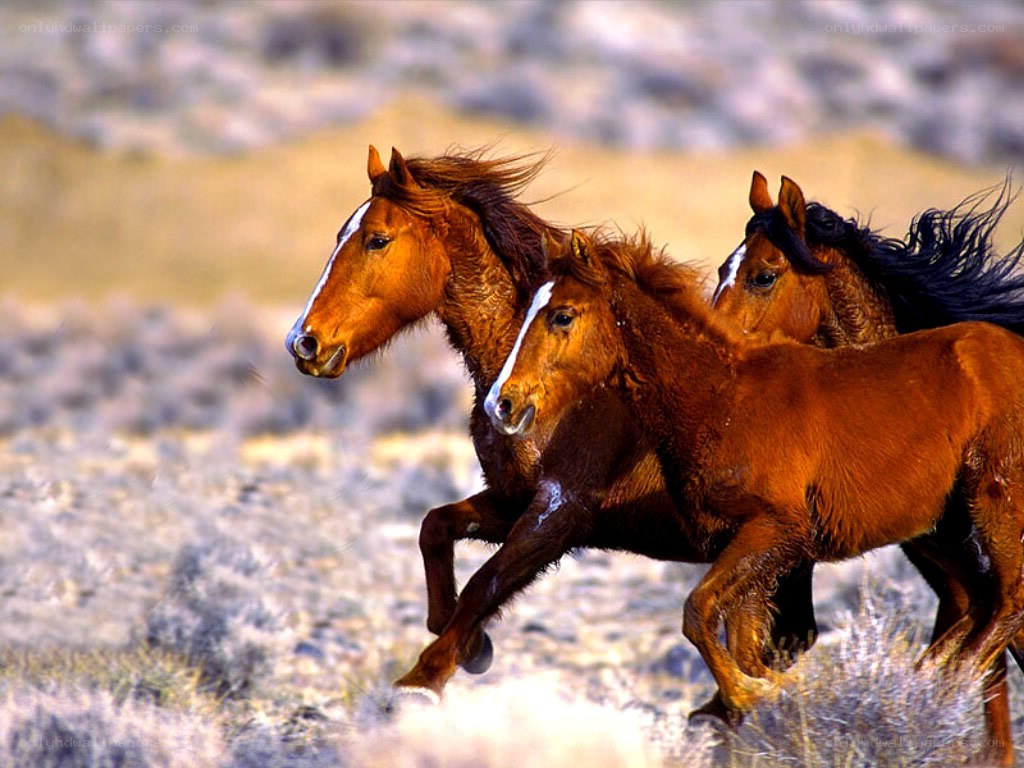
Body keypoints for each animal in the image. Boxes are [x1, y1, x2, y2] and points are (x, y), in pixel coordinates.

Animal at [285, 146, 818, 708]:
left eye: (377, 239)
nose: (303, 342)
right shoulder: (514, 499)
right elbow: (436, 528)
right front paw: (467, 642)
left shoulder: (561, 511)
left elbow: (486, 583)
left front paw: (424, 680)